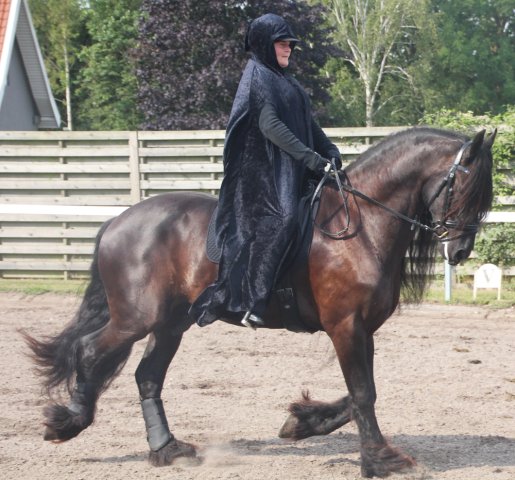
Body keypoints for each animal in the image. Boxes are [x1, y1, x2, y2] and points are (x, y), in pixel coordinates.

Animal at [24, 127, 496, 478]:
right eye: (462, 187)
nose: (460, 251)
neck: (360, 227)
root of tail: (119, 220)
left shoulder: (363, 328)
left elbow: (362, 392)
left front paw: (302, 422)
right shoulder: (346, 326)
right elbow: (363, 393)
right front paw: (382, 460)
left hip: (171, 323)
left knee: (147, 376)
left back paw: (167, 449)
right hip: (136, 318)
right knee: (91, 351)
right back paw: (68, 422)